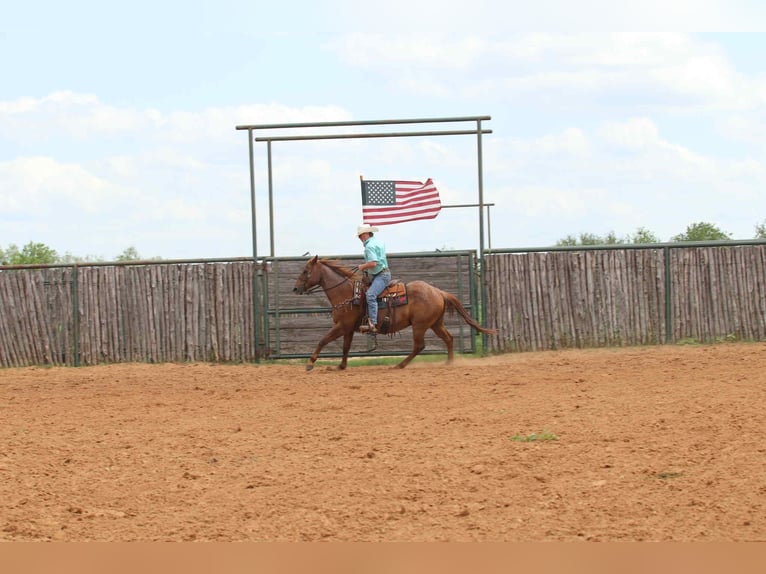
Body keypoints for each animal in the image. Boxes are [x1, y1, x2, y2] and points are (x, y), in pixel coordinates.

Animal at [292, 255, 497, 371]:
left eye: (306, 270)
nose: (295, 288)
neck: (347, 293)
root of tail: (438, 291)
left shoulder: (342, 326)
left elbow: (323, 340)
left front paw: (310, 363)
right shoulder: (348, 328)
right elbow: (345, 348)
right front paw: (340, 366)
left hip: (420, 325)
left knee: (419, 346)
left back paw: (400, 365)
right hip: (435, 323)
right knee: (448, 339)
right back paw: (449, 363)